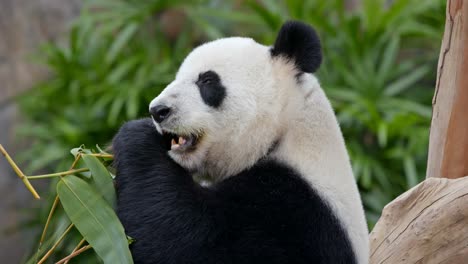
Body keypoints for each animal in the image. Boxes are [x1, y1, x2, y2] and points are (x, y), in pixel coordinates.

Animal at [113, 21, 370, 264]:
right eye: (176, 78)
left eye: (207, 80)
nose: (158, 110)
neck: (285, 131)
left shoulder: (296, 214)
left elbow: (191, 240)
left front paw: (137, 136)